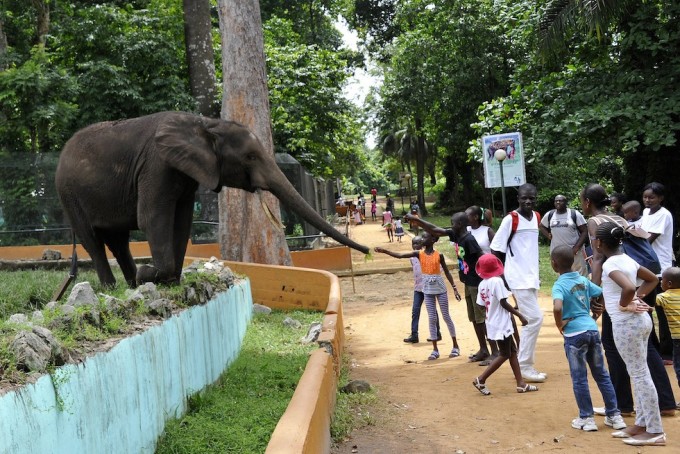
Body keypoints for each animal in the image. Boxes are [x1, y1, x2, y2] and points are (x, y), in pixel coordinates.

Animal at [55, 111, 370, 286]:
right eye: (250, 157)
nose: (368, 251)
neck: (207, 124)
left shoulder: (186, 172)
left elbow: (181, 221)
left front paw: (170, 281)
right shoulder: (157, 166)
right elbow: (153, 218)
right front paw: (152, 275)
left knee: (118, 240)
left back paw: (131, 283)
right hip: (68, 193)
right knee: (92, 240)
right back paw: (114, 286)